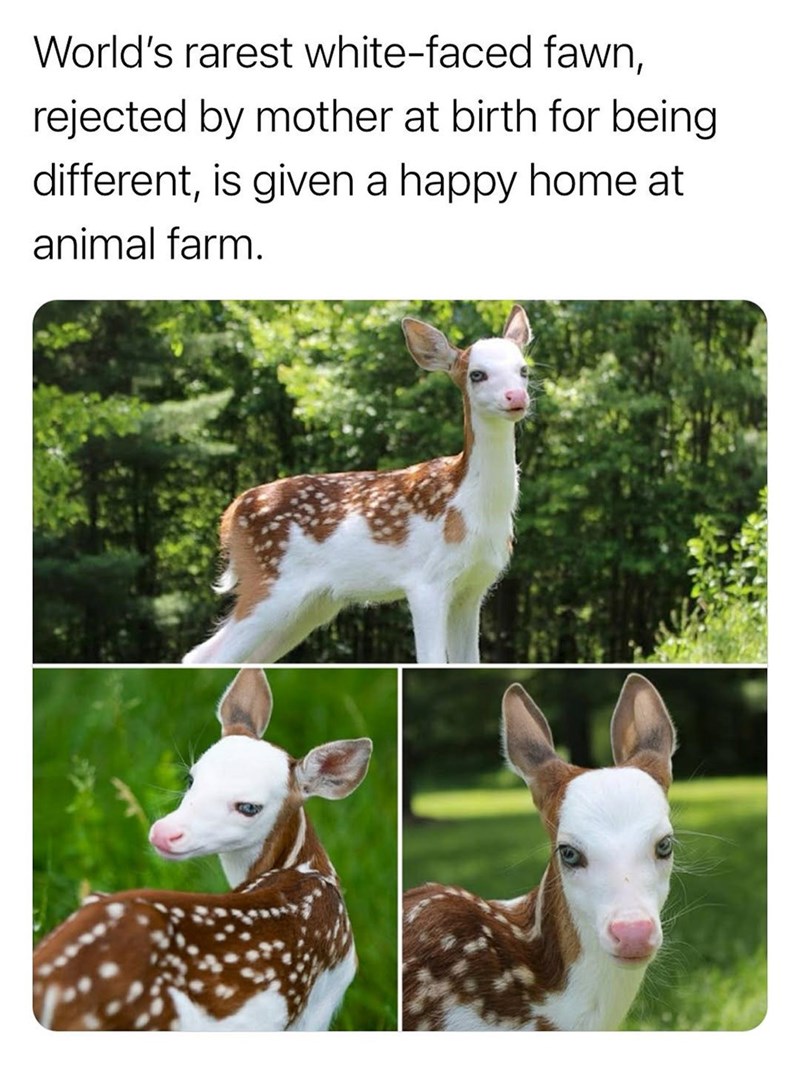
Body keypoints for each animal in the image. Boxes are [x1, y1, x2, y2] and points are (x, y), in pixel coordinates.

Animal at [182, 305, 532, 665]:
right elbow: (431, 659)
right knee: (211, 657)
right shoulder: (426, 581)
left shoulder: (472, 587)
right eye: (477, 374)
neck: (471, 504)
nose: (516, 396)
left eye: (523, 370)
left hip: (309, 604)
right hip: (269, 581)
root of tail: (231, 514)